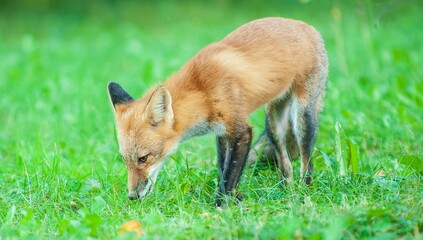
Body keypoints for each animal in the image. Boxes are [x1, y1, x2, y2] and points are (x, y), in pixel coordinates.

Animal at [107, 16, 330, 205]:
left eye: (143, 158)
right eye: (124, 159)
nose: (132, 196)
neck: (202, 91)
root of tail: (307, 26)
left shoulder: (241, 130)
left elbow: (230, 174)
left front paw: (221, 206)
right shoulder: (222, 133)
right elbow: (223, 170)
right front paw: (232, 200)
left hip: (302, 117)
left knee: (307, 161)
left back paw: (304, 192)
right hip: (273, 123)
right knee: (286, 165)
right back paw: (286, 192)